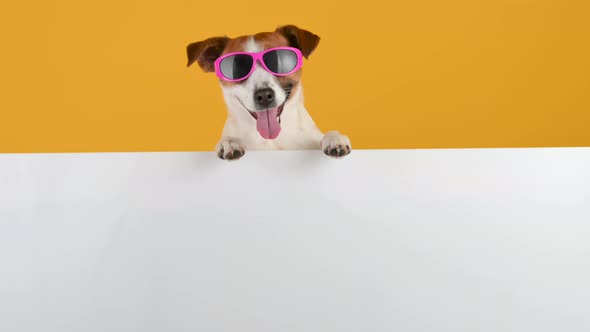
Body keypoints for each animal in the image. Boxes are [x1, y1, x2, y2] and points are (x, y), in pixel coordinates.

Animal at [186, 25, 352, 160]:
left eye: (278, 61)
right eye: (237, 67)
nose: (264, 95)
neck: (271, 139)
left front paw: (334, 138)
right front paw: (230, 142)